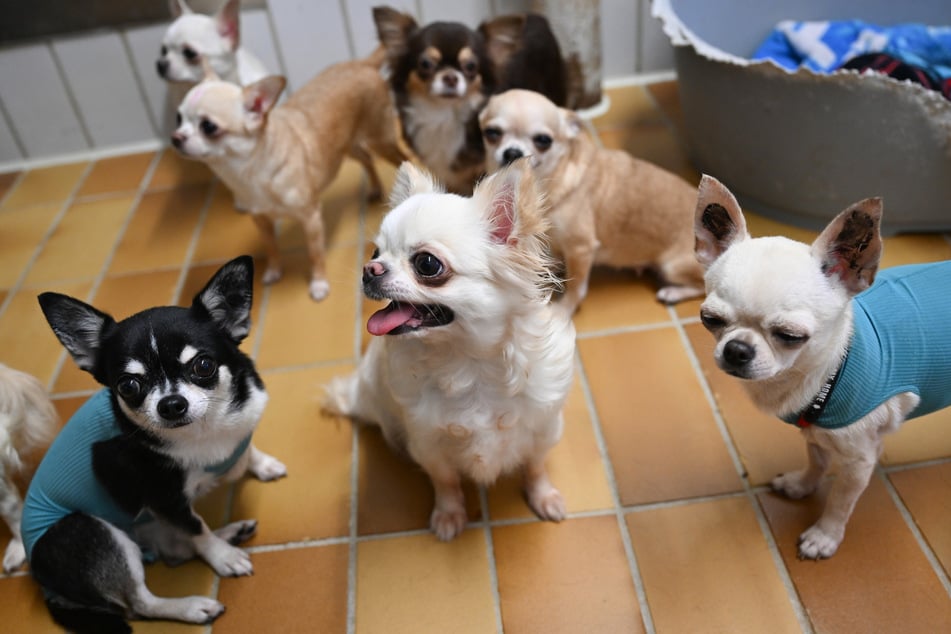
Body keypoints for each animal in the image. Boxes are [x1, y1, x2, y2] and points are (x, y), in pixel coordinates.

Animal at [324, 159, 576, 540]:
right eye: (375, 253)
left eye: (427, 264)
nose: (369, 269)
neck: (467, 362)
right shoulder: (429, 445)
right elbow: (446, 482)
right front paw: (448, 515)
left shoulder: (543, 431)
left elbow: (535, 468)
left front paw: (543, 497)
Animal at [696, 175, 951, 556]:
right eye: (710, 319)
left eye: (790, 335)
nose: (737, 349)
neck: (832, 368)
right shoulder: (816, 431)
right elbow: (816, 460)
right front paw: (802, 485)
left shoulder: (860, 460)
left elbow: (840, 502)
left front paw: (825, 536)